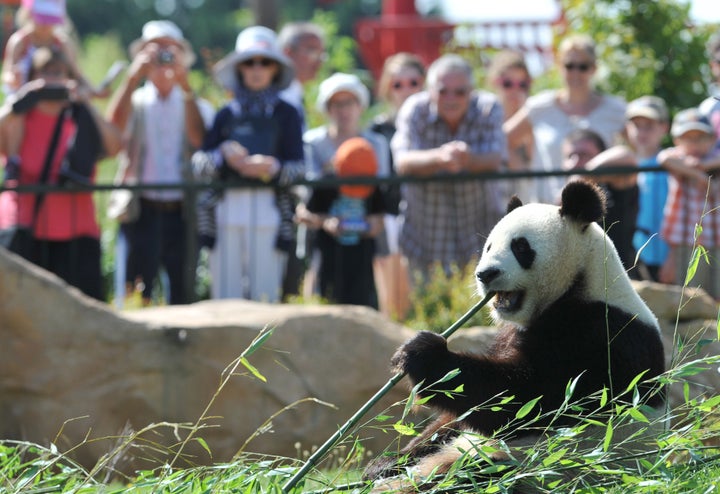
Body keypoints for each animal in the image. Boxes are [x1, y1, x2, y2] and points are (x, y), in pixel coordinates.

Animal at [368, 180, 668, 490]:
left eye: (521, 247)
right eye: (488, 246)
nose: (485, 274)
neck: (582, 281)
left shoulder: (599, 336)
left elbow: (522, 399)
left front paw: (422, 353)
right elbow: (454, 419)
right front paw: (385, 461)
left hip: (538, 468)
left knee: (479, 474)